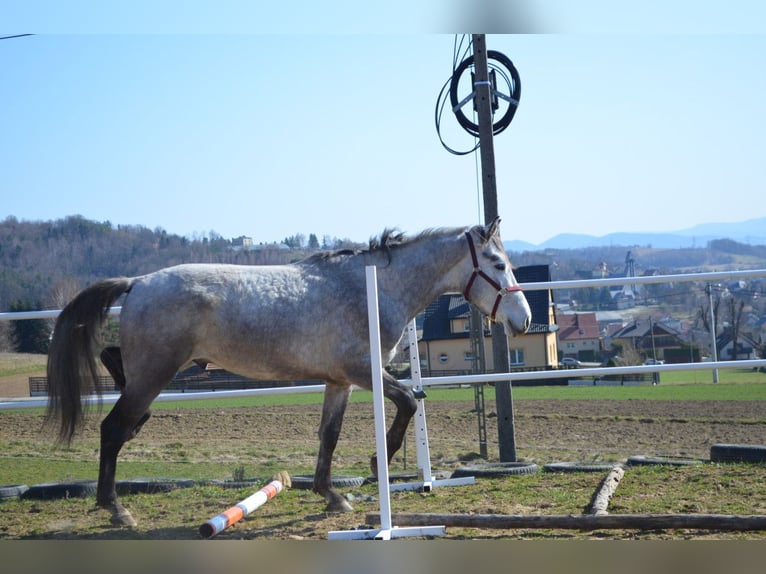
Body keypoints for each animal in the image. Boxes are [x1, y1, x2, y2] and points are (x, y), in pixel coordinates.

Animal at [45, 217, 531, 527]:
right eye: (499, 264)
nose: (523, 320)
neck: (372, 288)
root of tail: (138, 282)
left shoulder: (339, 381)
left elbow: (329, 435)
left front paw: (332, 495)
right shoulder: (363, 371)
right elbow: (410, 401)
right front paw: (379, 464)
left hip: (155, 370)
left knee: (114, 372)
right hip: (155, 374)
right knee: (112, 428)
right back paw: (116, 509)